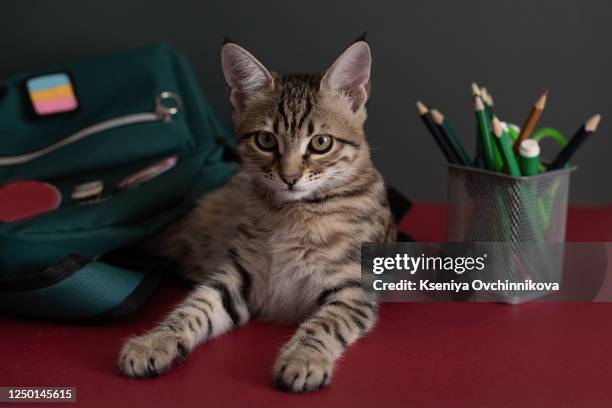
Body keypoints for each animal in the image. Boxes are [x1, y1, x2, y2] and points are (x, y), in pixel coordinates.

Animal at [118, 39, 396, 392]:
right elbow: (193, 307)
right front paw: (154, 341)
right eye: (266, 140)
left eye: (320, 142)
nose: (290, 177)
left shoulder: (352, 289)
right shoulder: (238, 276)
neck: (293, 212)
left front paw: (304, 358)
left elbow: (324, 324)